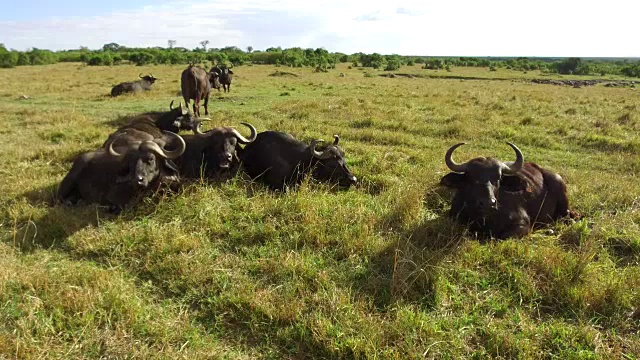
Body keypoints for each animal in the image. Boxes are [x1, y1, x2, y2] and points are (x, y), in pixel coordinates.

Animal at [440, 141, 576, 239]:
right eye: (470, 178)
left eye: (498, 178)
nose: (488, 203)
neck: (483, 219)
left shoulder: (523, 225)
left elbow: (501, 236)